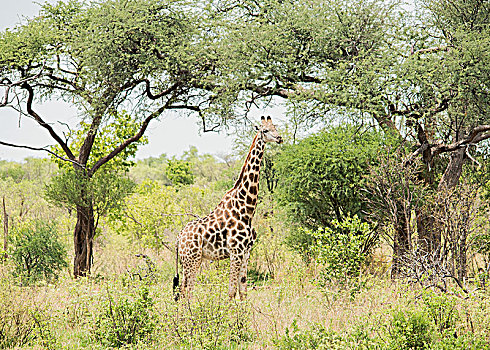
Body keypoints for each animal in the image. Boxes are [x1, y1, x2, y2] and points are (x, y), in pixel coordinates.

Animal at [174, 115, 284, 300]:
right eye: (265, 130)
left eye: (275, 127)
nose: (279, 138)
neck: (247, 209)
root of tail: (179, 239)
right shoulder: (235, 251)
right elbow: (231, 292)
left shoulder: (246, 252)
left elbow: (243, 291)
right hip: (192, 259)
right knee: (187, 292)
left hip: (189, 260)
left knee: (182, 291)